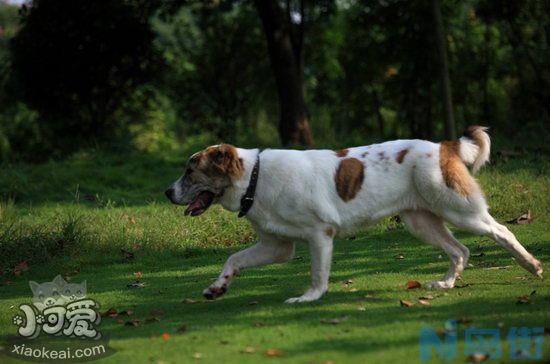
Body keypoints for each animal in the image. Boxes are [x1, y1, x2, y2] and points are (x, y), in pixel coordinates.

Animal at [166, 126, 544, 302]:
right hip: (420, 222)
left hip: (459, 209)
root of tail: (443, 146)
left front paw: (309, 298)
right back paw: (446, 283)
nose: (167, 192)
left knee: (501, 231)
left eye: (190, 170)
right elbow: (233, 259)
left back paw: (532, 266)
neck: (254, 176)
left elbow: (318, 274)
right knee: (460, 250)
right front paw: (217, 287)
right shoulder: (277, 247)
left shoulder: (320, 235)